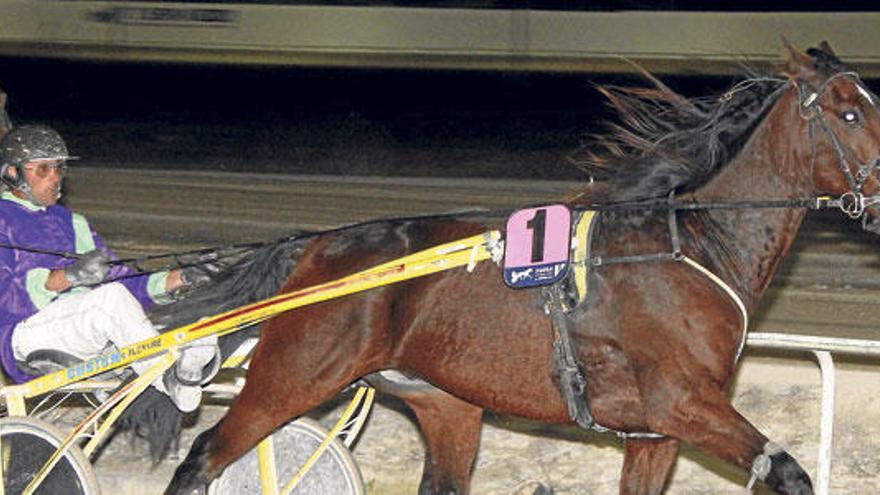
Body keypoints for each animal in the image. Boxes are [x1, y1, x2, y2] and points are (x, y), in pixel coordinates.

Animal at [163, 43, 880, 495]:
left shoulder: (655, 433)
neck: (693, 246)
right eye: (849, 112)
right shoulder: (682, 401)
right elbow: (789, 471)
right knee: (201, 457)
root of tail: (315, 248)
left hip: (446, 403)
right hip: (293, 372)